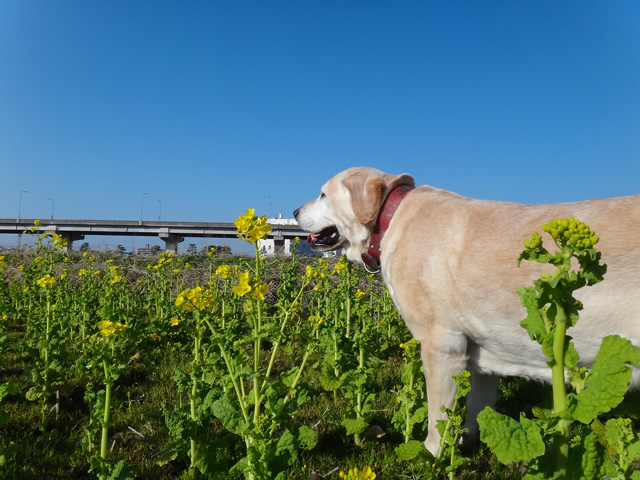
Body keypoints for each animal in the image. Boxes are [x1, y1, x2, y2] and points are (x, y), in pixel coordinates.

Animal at [296, 167, 640, 456]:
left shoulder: (442, 344)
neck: (388, 220)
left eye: (323, 194)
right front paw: (467, 442)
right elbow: (478, 405)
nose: (295, 211)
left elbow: (438, 418)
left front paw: (432, 456)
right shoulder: (483, 349)